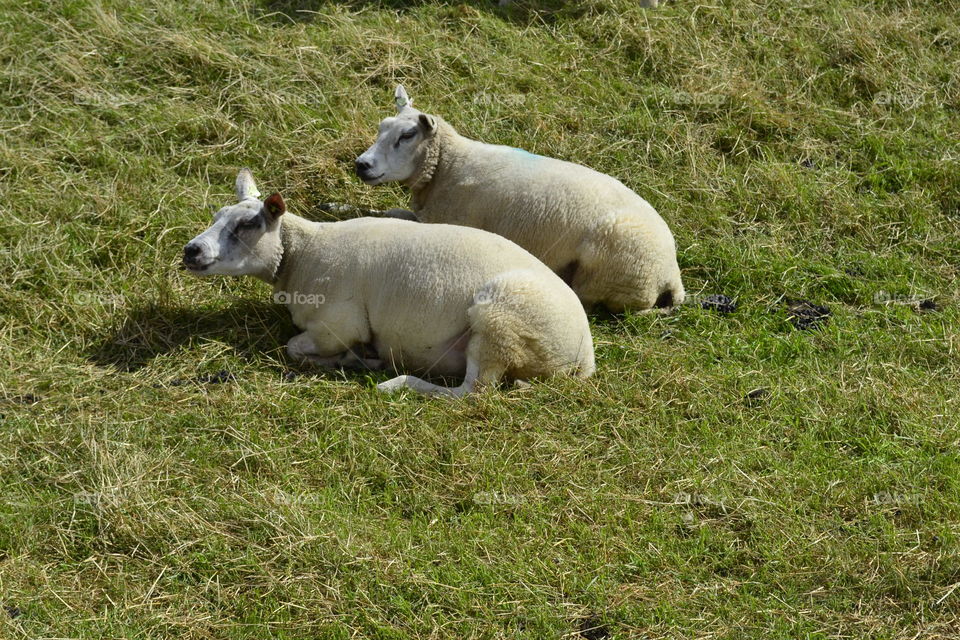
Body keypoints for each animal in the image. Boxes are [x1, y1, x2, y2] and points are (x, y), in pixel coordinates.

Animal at [181, 169, 595, 396]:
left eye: (247, 224)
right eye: (217, 216)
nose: (191, 251)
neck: (306, 253)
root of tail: (584, 357)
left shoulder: (338, 325)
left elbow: (294, 347)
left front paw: (350, 359)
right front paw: (355, 359)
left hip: (500, 323)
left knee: (472, 393)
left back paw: (397, 383)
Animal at [354, 85, 685, 312]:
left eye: (407, 136)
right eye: (382, 127)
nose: (362, 164)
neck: (448, 165)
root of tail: (671, 275)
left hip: (605, 273)